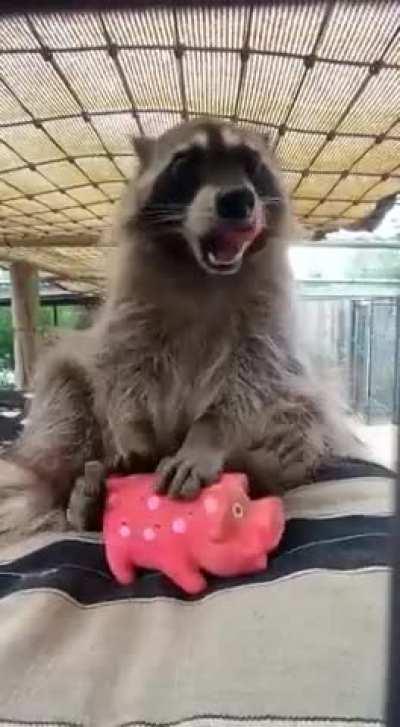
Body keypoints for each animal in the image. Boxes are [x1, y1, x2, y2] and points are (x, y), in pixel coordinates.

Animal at [0, 119, 358, 543]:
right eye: (185, 164)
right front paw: (134, 430)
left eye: (251, 164)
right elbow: (123, 369)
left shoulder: (268, 314)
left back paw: (253, 470)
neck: (201, 271)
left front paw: (208, 437)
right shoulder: (131, 308)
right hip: (63, 423)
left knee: (304, 418)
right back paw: (81, 500)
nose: (237, 200)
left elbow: (252, 379)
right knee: (64, 396)